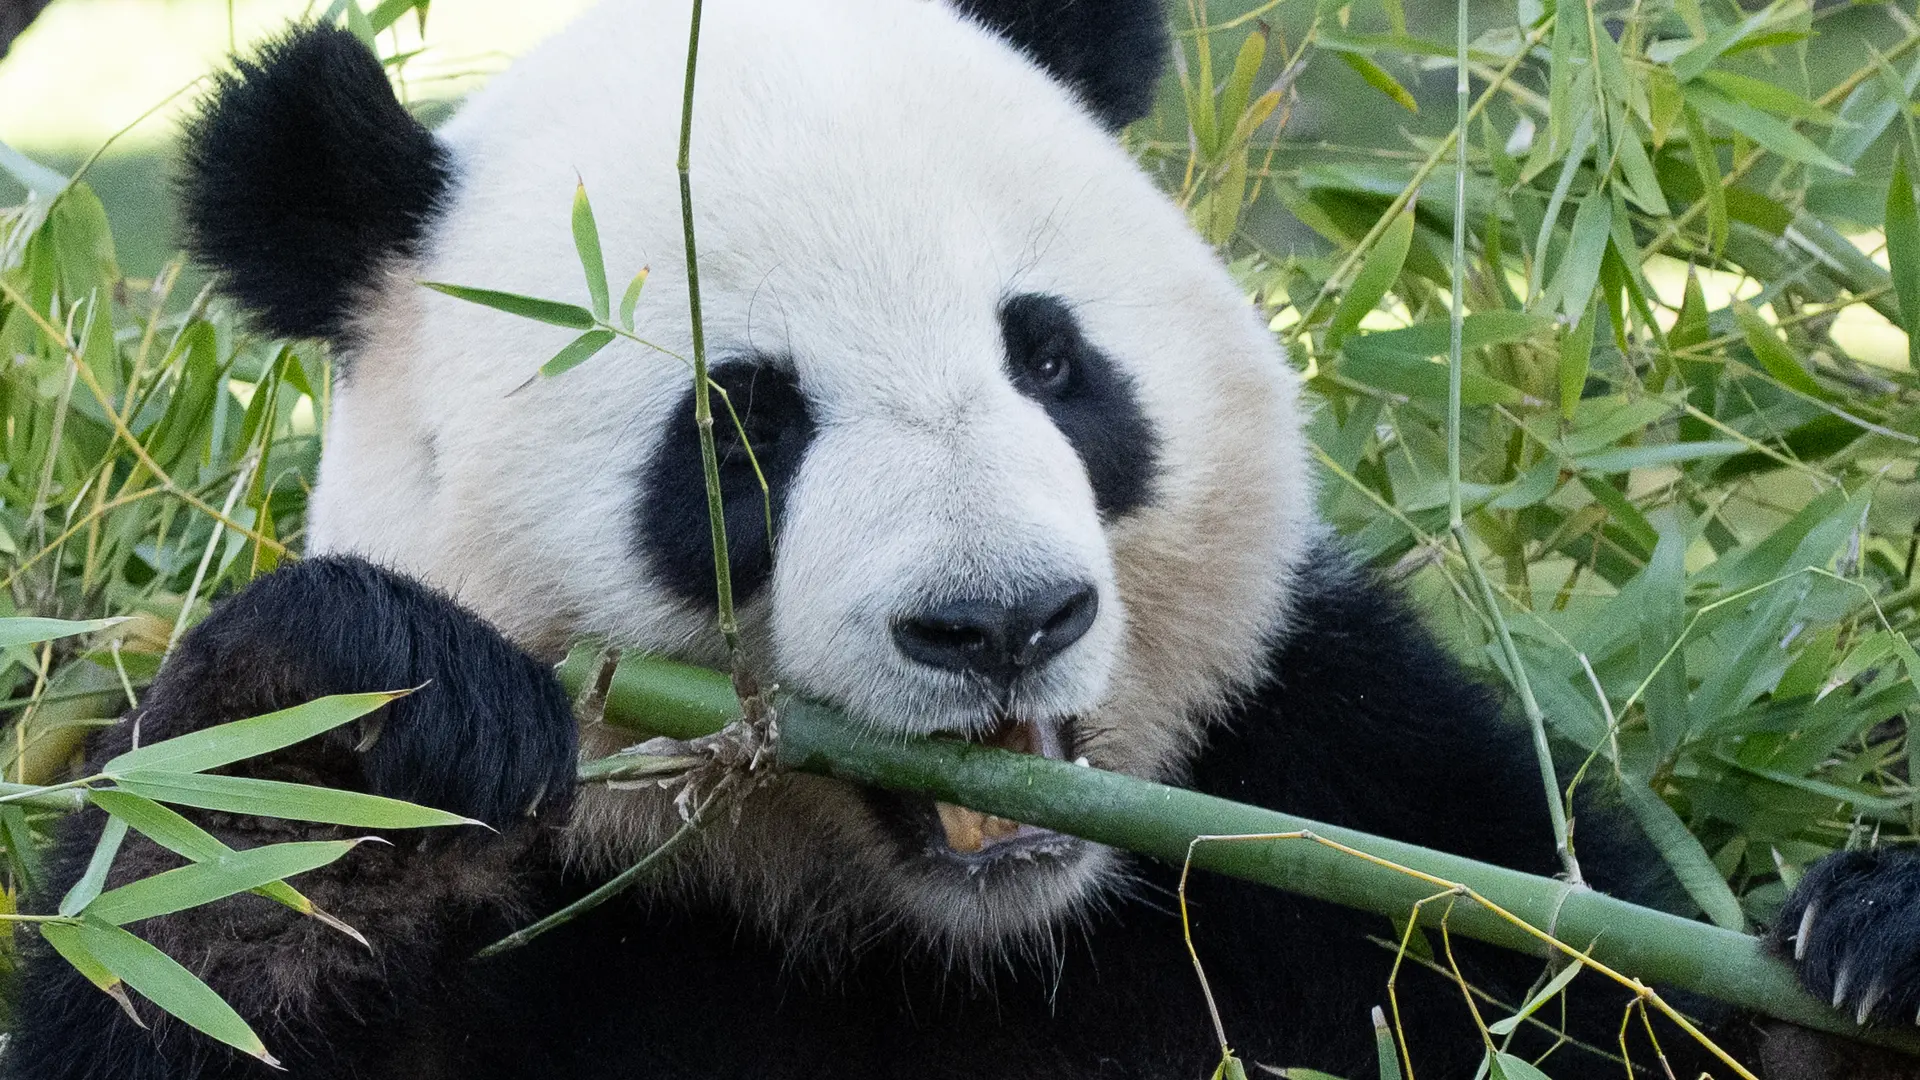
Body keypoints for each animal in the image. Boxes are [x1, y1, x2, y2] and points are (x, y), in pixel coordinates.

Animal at [9, 1, 1918, 1077]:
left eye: (1053, 361)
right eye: (741, 430)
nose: (1001, 622)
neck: (966, 931)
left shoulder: (1350, 808)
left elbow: (1632, 1008)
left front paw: (1873, 934)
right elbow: (192, 917)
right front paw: (359, 720)